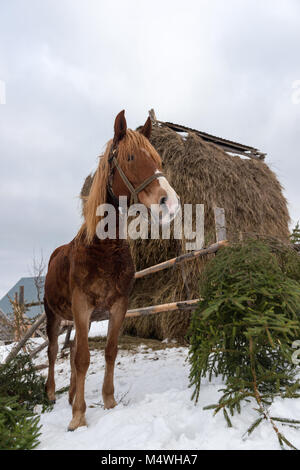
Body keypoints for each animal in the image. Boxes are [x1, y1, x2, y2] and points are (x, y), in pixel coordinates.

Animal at [44, 109, 179, 430]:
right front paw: (78, 416)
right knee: (54, 352)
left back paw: (70, 395)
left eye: (158, 159)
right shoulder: (82, 306)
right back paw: (53, 394)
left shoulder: (118, 306)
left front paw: (108, 402)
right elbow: (82, 358)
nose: (170, 203)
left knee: (70, 352)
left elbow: (108, 351)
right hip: (53, 316)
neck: (103, 250)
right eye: (129, 158)